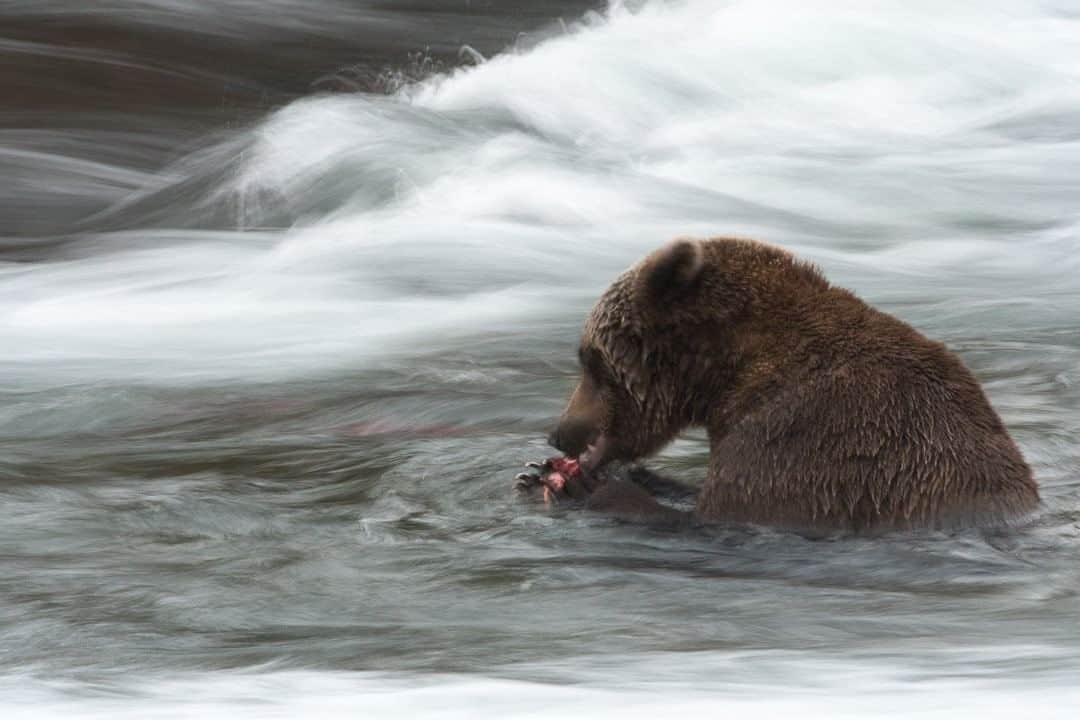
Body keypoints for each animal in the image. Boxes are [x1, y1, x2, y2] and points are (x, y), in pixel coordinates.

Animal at [522, 239, 1036, 533]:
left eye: (590, 359)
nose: (558, 432)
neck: (729, 375)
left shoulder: (803, 438)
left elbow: (725, 517)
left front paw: (585, 489)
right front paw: (538, 473)